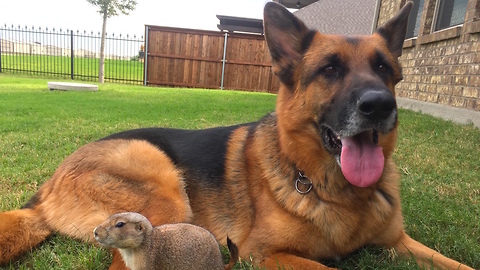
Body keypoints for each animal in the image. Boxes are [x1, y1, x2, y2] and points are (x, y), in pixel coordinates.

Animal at [0, 2, 472, 270]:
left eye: (384, 69)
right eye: (330, 70)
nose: (380, 105)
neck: (334, 190)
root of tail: (47, 187)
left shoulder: (400, 243)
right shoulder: (263, 254)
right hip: (164, 198)